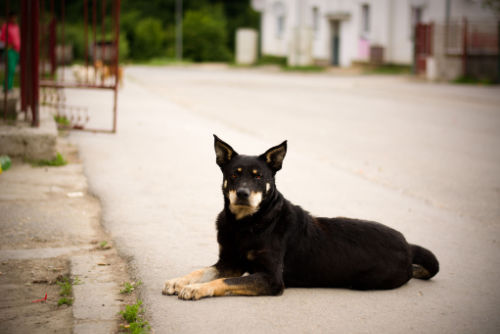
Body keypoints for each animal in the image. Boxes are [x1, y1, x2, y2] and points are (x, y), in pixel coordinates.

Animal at [162, 136, 440, 300]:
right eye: (234, 174)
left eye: (259, 177)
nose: (242, 194)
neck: (246, 223)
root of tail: (407, 243)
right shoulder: (229, 261)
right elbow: (202, 271)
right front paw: (179, 281)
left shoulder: (271, 278)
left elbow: (223, 281)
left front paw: (196, 289)